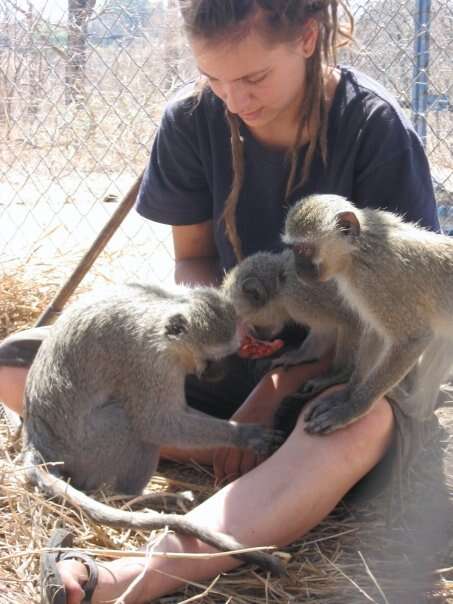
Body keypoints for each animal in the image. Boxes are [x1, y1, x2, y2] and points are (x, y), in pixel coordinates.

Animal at [23, 284, 284, 576]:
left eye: (230, 355)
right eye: (211, 360)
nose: (221, 374)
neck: (164, 313)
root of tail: (38, 442)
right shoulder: (150, 364)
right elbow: (157, 422)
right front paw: (244, 435)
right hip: (84, 449)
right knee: (129, 426)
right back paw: (136, 500)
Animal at [282, 193, 452, 434]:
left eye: (303, 250)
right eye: (294, 249)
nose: (298, 270)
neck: (358, 251)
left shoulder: (374, 282)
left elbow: (413, 339)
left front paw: (352, 409)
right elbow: (376, 332)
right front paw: (346, 392)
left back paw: (413, 408)